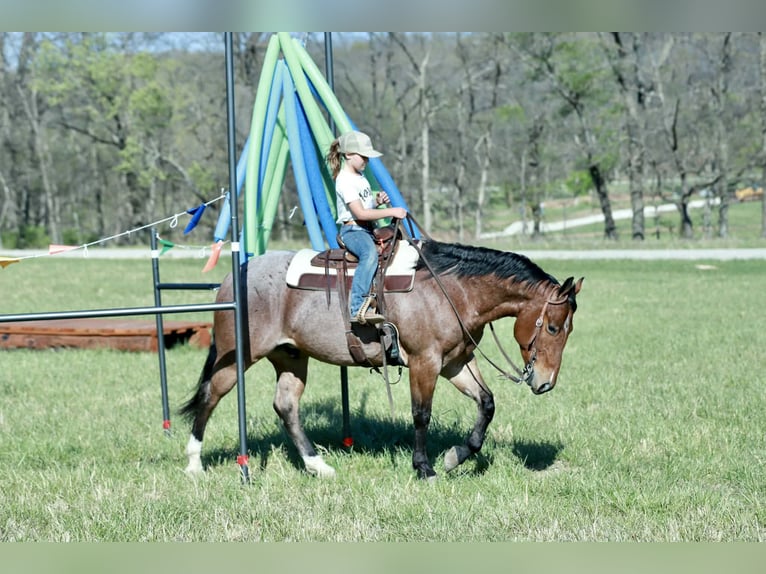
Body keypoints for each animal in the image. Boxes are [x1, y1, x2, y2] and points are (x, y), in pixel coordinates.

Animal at [180, 238, 583, 480]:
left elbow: (487, 403)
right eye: (552, 326)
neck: (451, 290)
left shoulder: (456, 362)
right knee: (210, 397)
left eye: (568, 329)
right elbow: (421, 415)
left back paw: (318, 465)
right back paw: (195, 464)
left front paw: (455, 456)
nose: (545, 382)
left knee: (286, 406)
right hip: (237, 357)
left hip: (291, 357)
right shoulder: (425, 362)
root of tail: (235, 275)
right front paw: (425, 468)